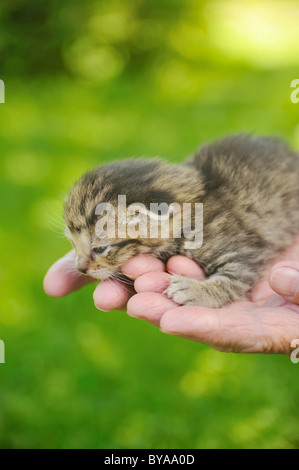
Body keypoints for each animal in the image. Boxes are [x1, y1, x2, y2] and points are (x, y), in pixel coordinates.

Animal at [63, 133, 299, 308]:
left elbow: (232, 279)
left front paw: (195, 290)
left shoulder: (245, 252)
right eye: (73, 244)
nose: (80, 269)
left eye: (100, 248)